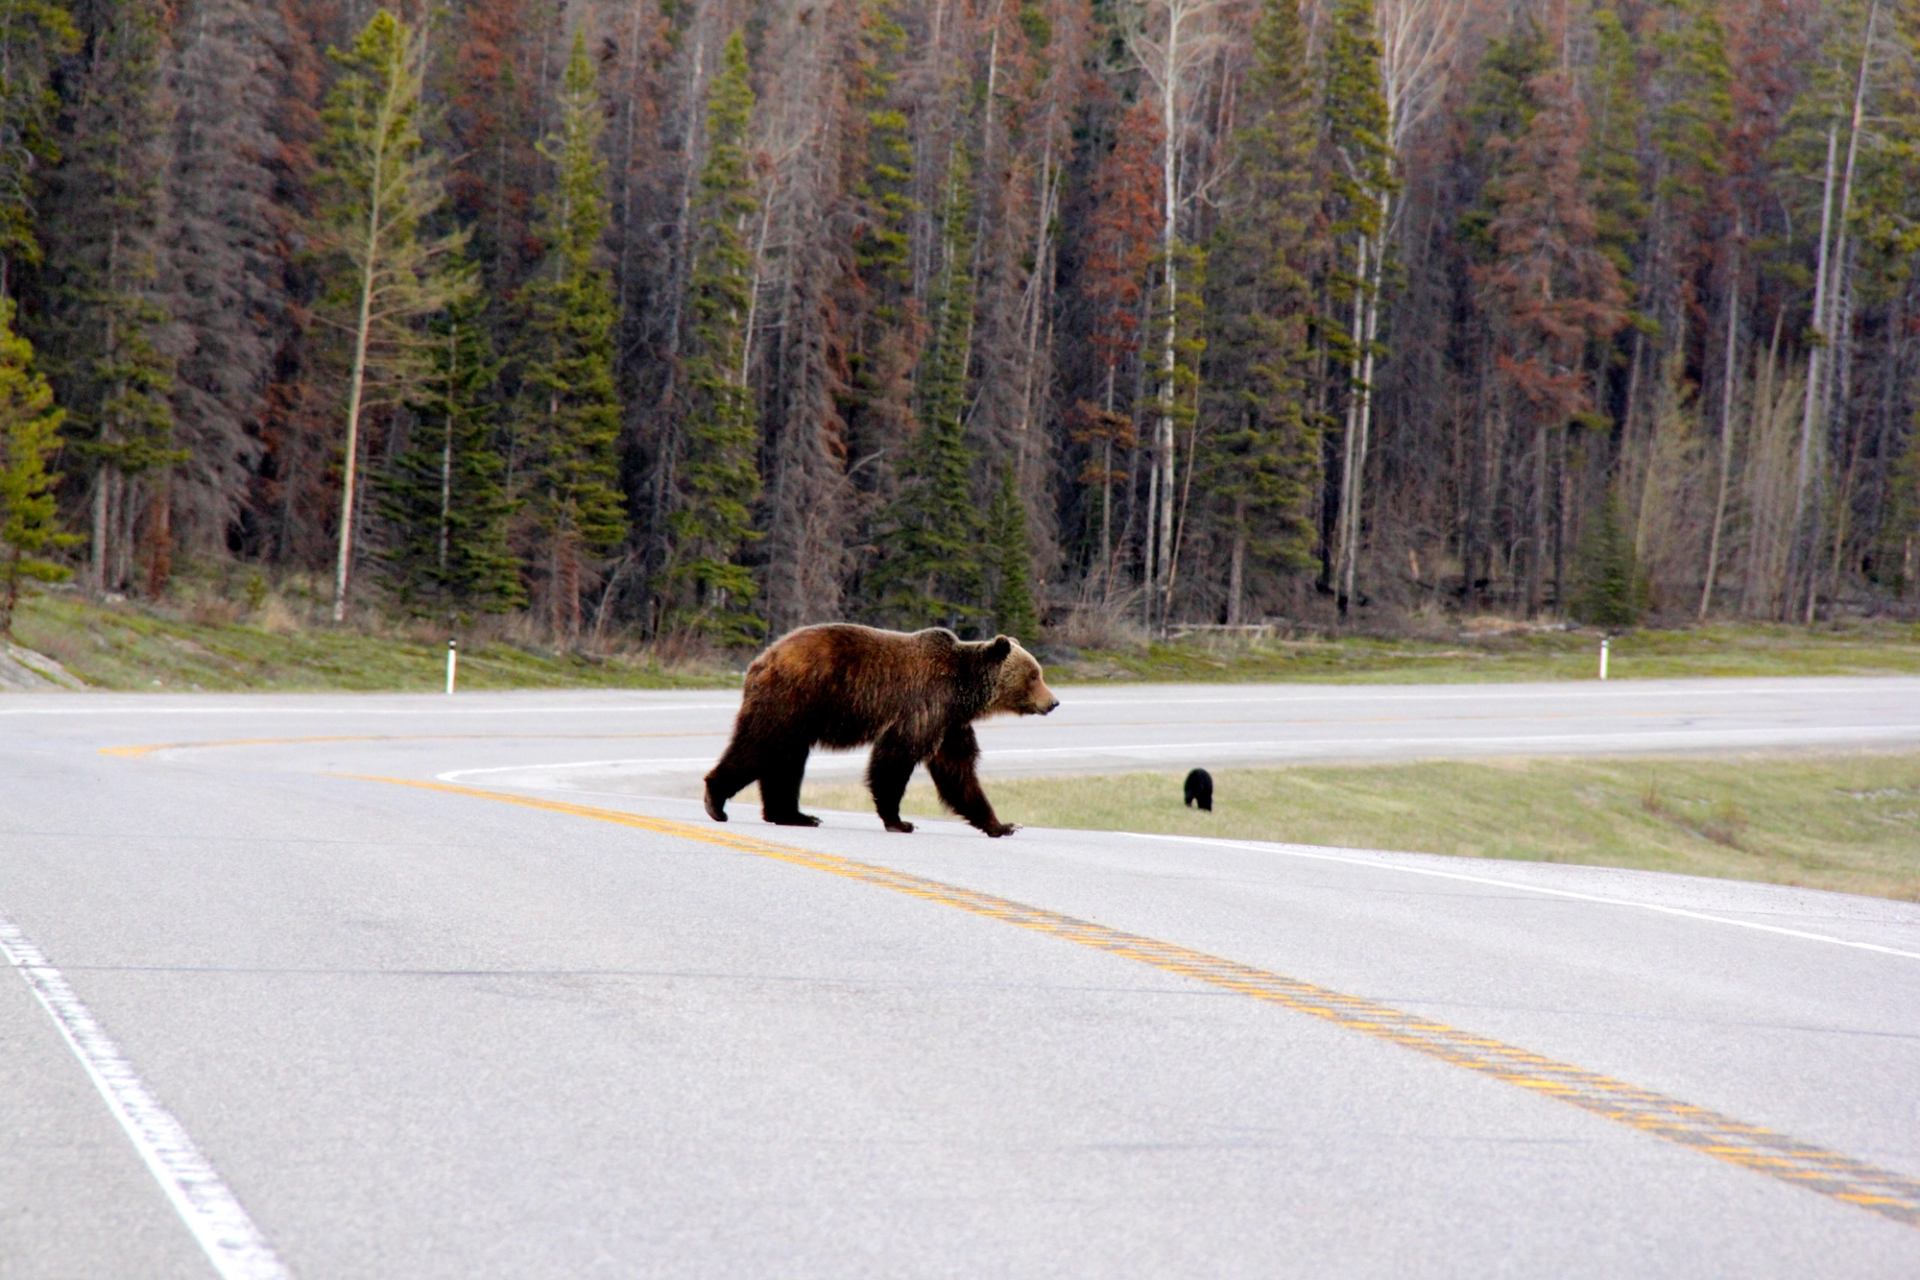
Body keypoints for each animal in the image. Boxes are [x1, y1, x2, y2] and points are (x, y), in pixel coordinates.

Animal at [702, 624, 1059, 838]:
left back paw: (793, 814)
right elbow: (895, 759)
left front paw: (1002, 824)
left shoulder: (949, 722)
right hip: (793, 698)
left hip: (799, 713)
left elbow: (958, 771)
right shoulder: (923, 705)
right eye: (1034, 675)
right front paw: (899, 821)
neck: (962, 691)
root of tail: (760, 660)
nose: (1053, 701)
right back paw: (716, 801)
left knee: (786, 760)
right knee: (761, 745)